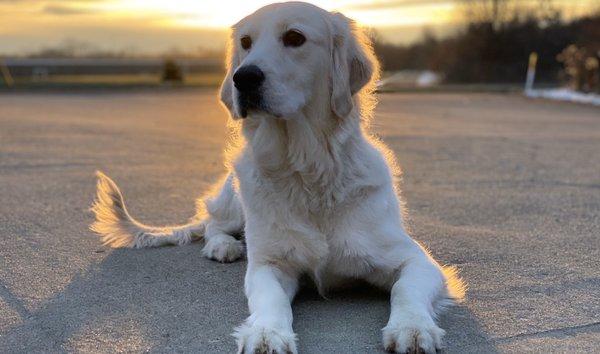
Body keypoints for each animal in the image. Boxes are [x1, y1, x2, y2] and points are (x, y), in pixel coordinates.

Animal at [90, 2, 464, 352]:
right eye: (245, 42)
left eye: (295, 38)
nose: (243, 78)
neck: (308, 171)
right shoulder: (269, 264)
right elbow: (270, 300)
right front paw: (267, 333)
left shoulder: (415, 259)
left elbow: (405, 289)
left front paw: (412, 328)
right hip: (233, 197)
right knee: (212, 223)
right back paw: (223, 246)